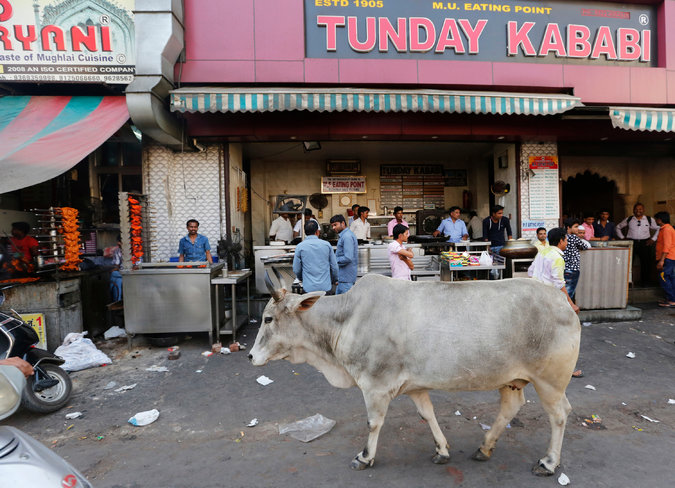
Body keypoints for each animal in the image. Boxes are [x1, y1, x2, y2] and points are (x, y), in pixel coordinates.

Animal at [248, 272, 580, 474]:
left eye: (268, 319)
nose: (251, 356)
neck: (346, 318)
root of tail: (562, 299)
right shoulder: (415, 386)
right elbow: (427, 415)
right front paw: (442, 450)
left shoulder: (375, 386)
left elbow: (373, 423)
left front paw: (364, 457)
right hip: (512, 380)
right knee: (511, 406)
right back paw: (484, 448)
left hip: (550, 382)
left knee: (559, 414)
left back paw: (549, 462)